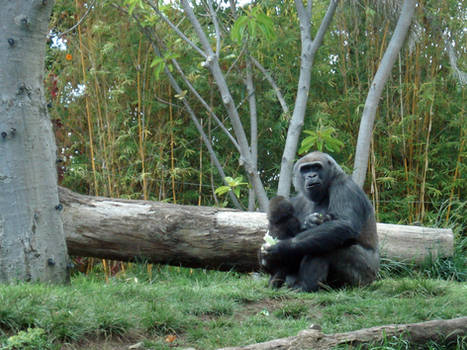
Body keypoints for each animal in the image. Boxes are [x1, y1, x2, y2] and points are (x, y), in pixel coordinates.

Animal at [260, 152, 380, 292]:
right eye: (305, 169)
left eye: (316, 167)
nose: (311, 175)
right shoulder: (296, 201)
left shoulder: (345, 186)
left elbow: (343, 224)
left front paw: (280, 249)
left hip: (364, 278)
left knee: (329, 241)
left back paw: (306, 285)